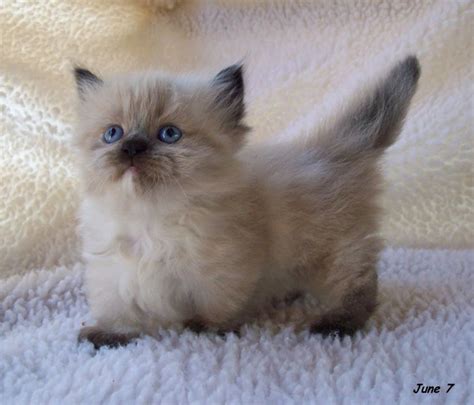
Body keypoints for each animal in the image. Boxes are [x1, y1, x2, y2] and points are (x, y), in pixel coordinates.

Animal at [75, 56, 422, 348]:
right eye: (113, 134)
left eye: (169, 134)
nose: (132, 148)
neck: (151, 218)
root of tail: (334, 149)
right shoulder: (116, 272)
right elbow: (119, 311)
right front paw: (111, 335)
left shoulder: (223, 270)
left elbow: (217, 307)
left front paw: (204, 328)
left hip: (336, 253)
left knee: (360, 284)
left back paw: (336, 325)